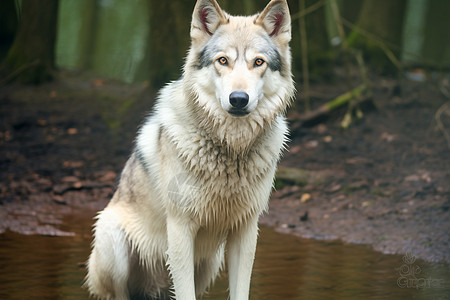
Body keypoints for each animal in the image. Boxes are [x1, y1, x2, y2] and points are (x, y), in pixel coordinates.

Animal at [85, 0, 296, 298]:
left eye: (258, 62)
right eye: (223, 61)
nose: (239, 99)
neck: (230, 150)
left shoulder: (246, 229)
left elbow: (240, 290)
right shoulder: (180, 228)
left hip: (209, 263)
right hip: (113, 242)